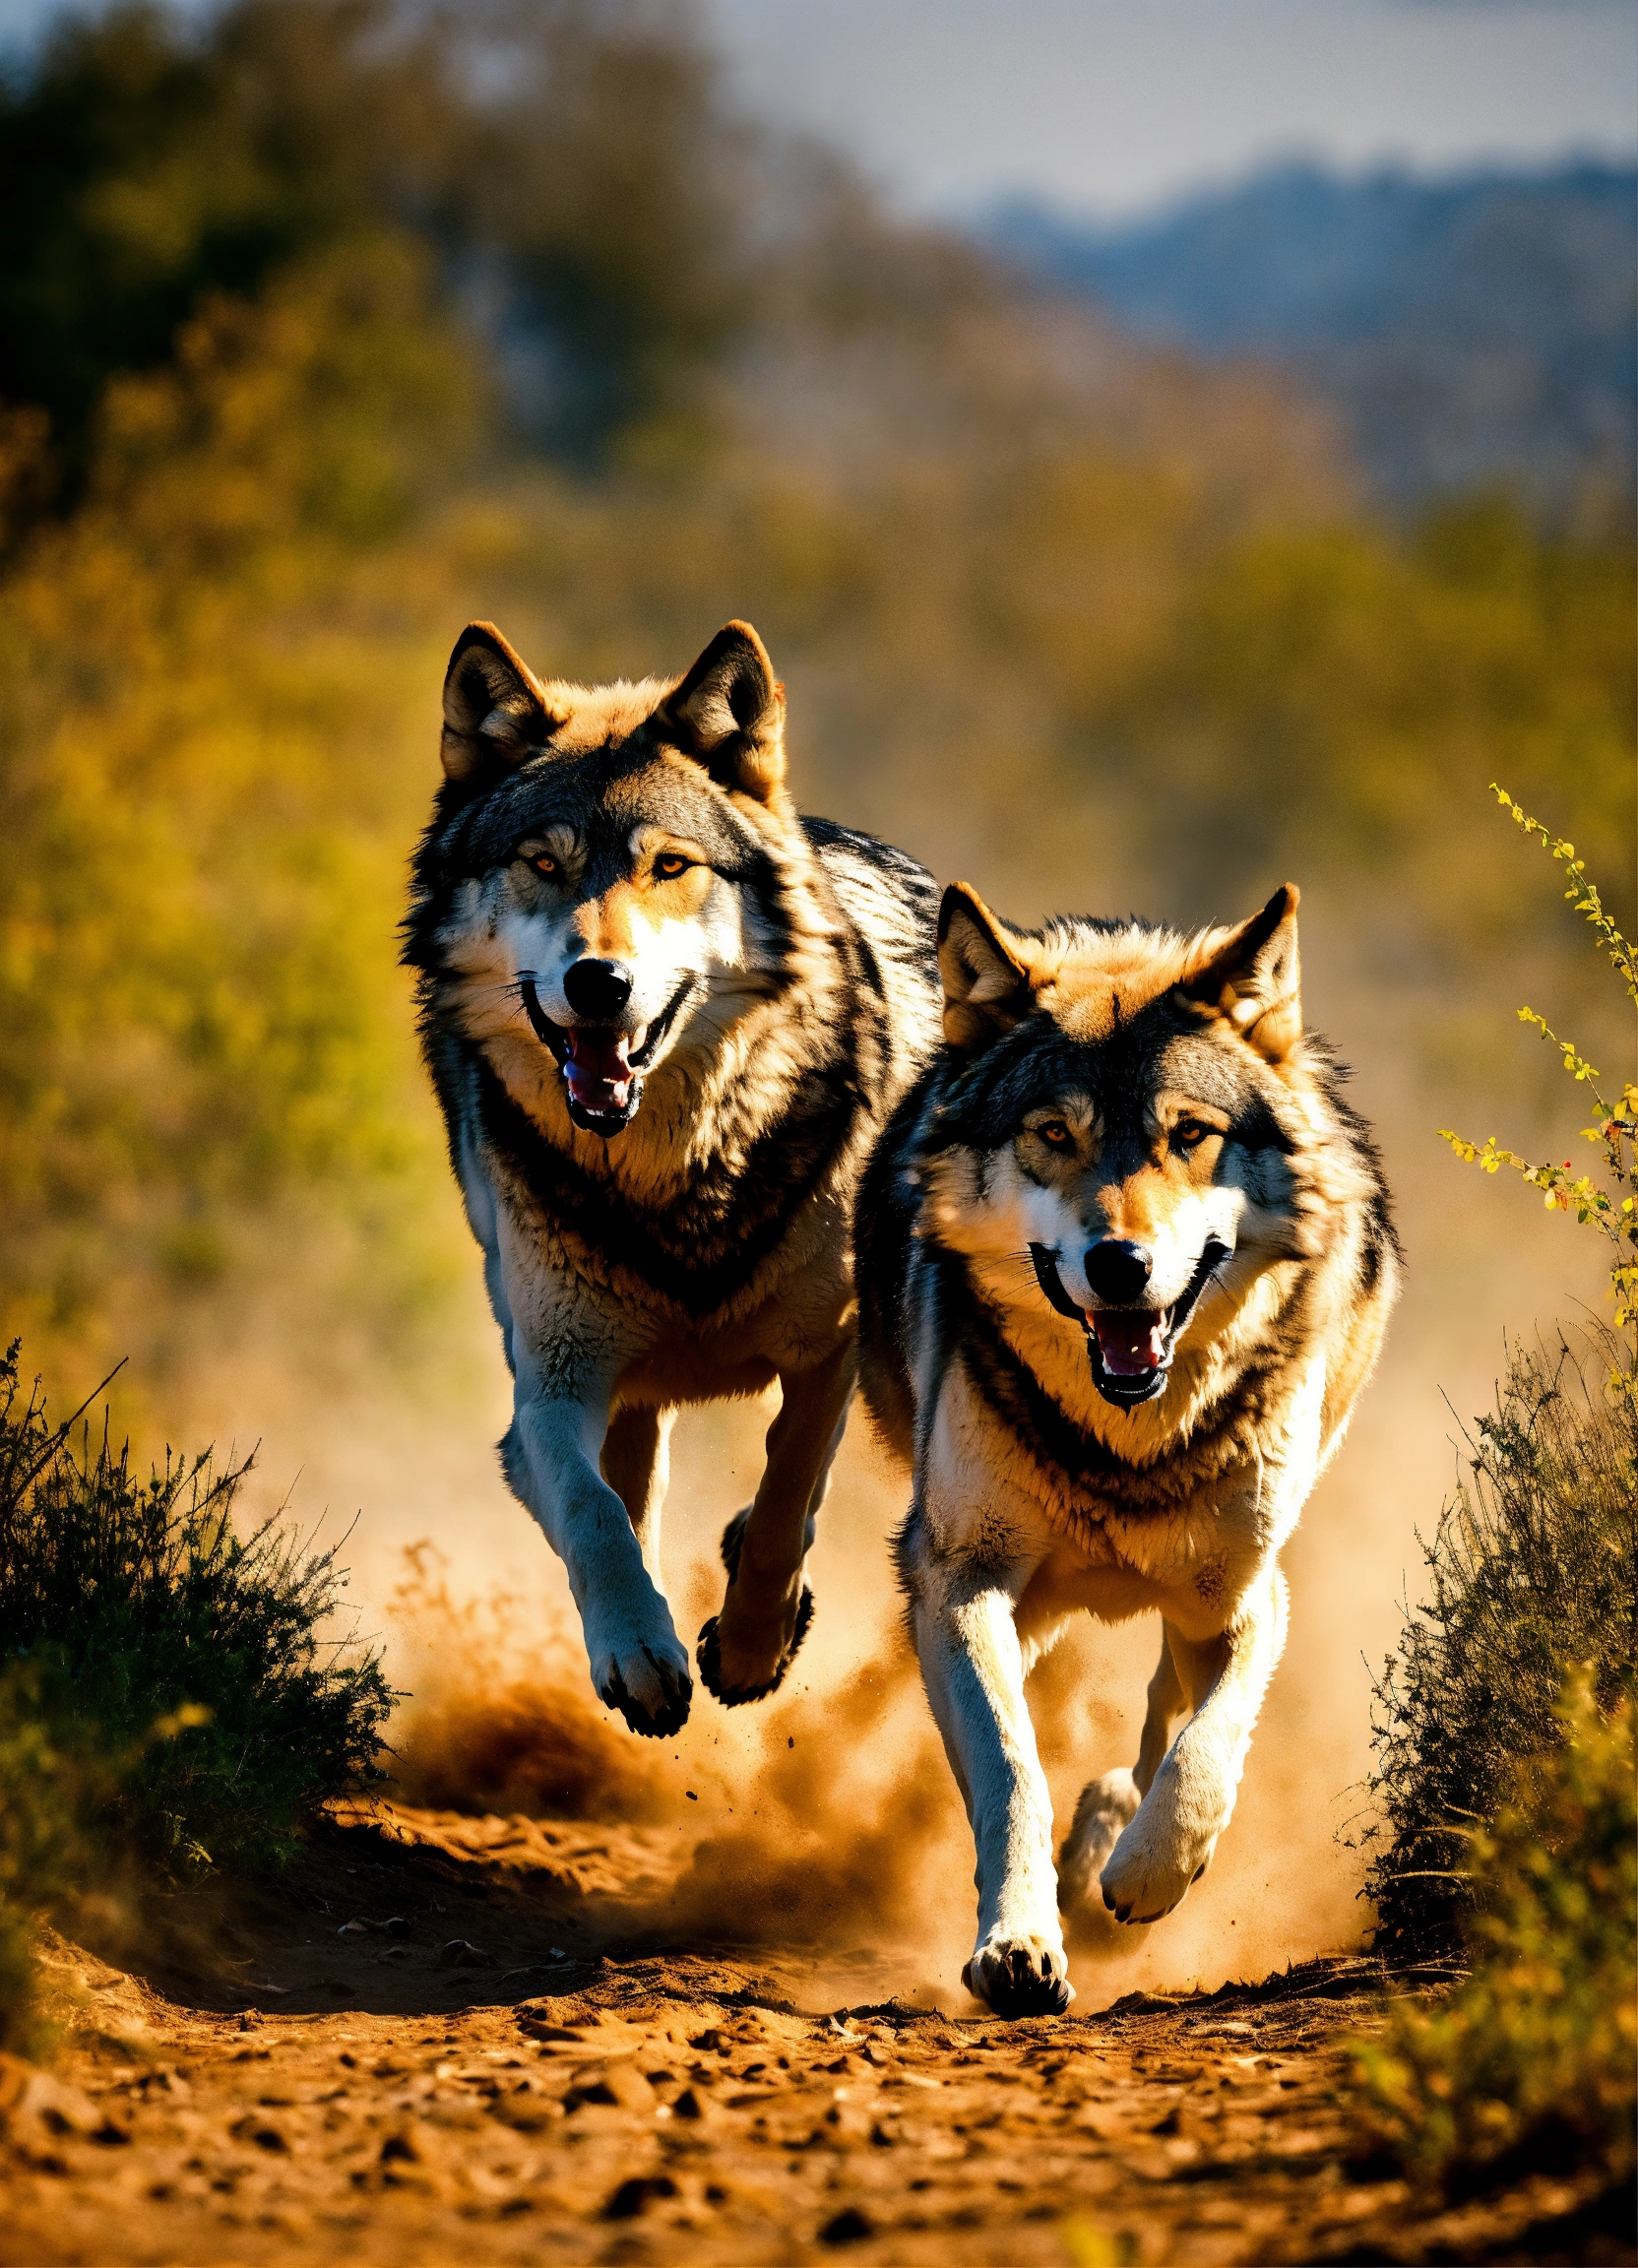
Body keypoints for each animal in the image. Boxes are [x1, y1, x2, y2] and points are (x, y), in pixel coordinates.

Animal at [405, 618, 941, 1738]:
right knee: (629, 1494)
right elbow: (591, 1511)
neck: (671, 1178)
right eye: (542, 863)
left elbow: (784, 1495)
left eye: (669, 866)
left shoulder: (828, 1352)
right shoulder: (551, 1386)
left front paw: (748, 1646)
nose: (597, 983)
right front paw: (638, 1650)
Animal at [856, 878, 1398, 2015]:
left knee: (1162, 1720)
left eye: (1187, 1134)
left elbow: (1205, 1753)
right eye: (1052, 1134)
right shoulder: (957, 1579)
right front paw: (1018, 1944)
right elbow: (1011, 1766)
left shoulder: (1240, 1596)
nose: (1119, 1264)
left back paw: (1107, 1840)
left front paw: (1143, 1871)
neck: (1125, 1445)